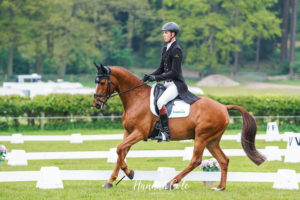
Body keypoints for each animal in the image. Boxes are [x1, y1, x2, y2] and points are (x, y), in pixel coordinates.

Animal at [92, 64, 264, 191]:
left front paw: (130, 173)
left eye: (102, 82)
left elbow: (119, 149)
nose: (96, 104)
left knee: (196, 160)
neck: (136, 98)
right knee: (223, 160)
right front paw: (110, 181)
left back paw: (170, 182)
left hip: (202, 137)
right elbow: (120, 152)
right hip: (212, 140)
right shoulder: (128, 132)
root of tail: (223, 106)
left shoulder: (140, 133)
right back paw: (220, 187)